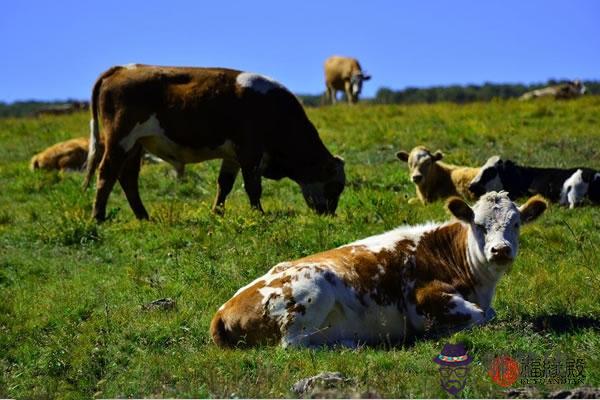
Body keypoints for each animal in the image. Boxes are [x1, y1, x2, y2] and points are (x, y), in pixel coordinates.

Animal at [84, 65, 346, 222]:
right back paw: (98, 217)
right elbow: (253, 187)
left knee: (127, 177)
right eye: (335, 186)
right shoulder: (249, 153)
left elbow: (225, 185)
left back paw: (142, 216)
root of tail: (123, 68)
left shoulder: (232, 157)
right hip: (120, 140)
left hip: (136, 145)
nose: (330, 214)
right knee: (106, 173)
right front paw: (258, 213)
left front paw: (217, 212)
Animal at [209, 191, 548, 346]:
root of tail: (223, 309)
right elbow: (480, 316)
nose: (500, 250)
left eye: (516, 223)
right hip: (312, 294)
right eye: (478, 224)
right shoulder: (422, 299)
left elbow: (488, 313)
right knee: (292, 344)